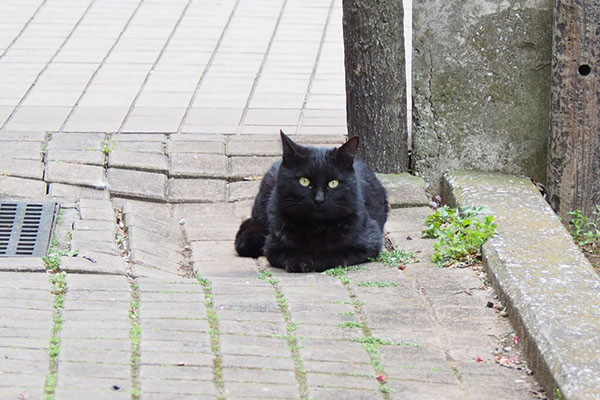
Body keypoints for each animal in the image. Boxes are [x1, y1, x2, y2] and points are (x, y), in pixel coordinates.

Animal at [232, 131, 386, 272]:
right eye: (304, 181)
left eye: (333, 183)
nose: (319, 199)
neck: (315, 228)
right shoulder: (273, 245)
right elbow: (287, 253)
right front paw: (301, 261)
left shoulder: (370, 241)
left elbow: (342, 252)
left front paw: (323, 260)